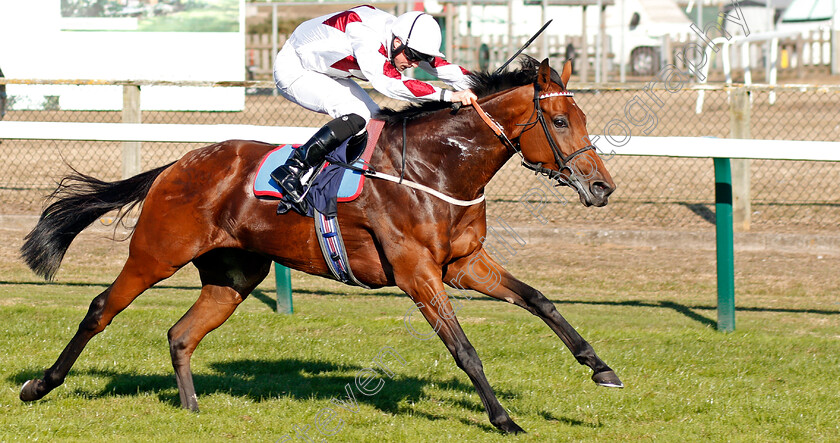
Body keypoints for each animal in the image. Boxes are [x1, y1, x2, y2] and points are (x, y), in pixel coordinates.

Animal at [19, 57, 620, 436]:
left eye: (583, 117)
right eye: (560, 119)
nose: (602, 187)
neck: (438, 170)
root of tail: (177, 163)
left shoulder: (464, 264)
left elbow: (541, 300)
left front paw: (601, 368)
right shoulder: (417, 273)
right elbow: (463, 348)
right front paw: (503, 419)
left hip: (235, 276)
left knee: (181, 333)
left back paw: (191, 409)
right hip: (156, 254)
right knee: (101, 309)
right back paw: (38, 386)